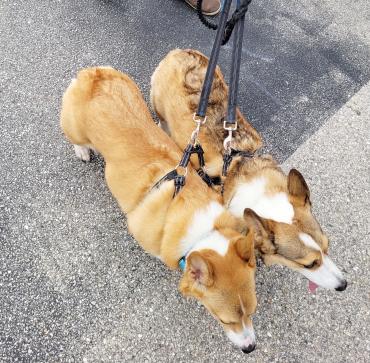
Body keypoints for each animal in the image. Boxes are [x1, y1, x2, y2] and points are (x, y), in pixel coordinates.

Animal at [60, 67, 260, 354]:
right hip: (75, 127)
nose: (250, 348)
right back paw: (83, 151)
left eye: (252, 312)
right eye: (224, 320)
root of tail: (93, 74)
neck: (202, 232)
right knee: (75, 139)